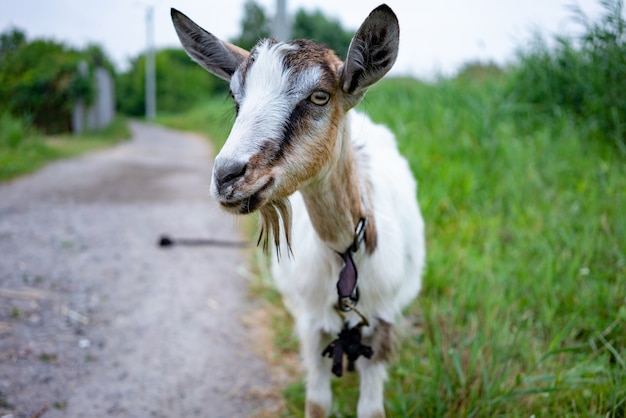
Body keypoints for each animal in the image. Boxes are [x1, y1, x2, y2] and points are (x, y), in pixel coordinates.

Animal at [171, 4, 424, 416]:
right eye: (236, 99)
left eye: (319, 96)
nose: (227, 176)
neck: (345, 255)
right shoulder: (310, 325)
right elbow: (317, 402)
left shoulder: (381, 323)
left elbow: (371, 409)